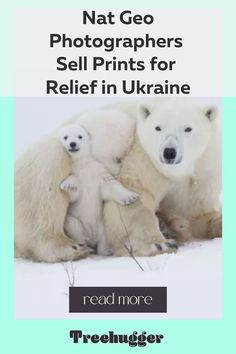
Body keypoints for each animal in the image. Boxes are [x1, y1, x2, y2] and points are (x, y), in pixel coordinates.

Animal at [57, 124, 138, 254]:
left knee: (107, 234)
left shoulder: (97, 170)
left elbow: (109, 185)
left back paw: (106, 251)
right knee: (74, 227)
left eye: (80, 136)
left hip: (103, 224)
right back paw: (86, 248)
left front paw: (131, 197)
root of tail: (92, 238)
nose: (73, 144)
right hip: (76, 222)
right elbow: (73, 195)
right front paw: (69, 185)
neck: (83, 164)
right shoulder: (74, 172)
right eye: (65, 137)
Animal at [103, 98, 221, 256]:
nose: (169, 152)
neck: (175, 172)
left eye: (188, 128)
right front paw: (160, 244)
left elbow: (198, 212)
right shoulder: (144, 158)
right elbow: (133, 194)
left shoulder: (203, 173)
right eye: (158, 127)